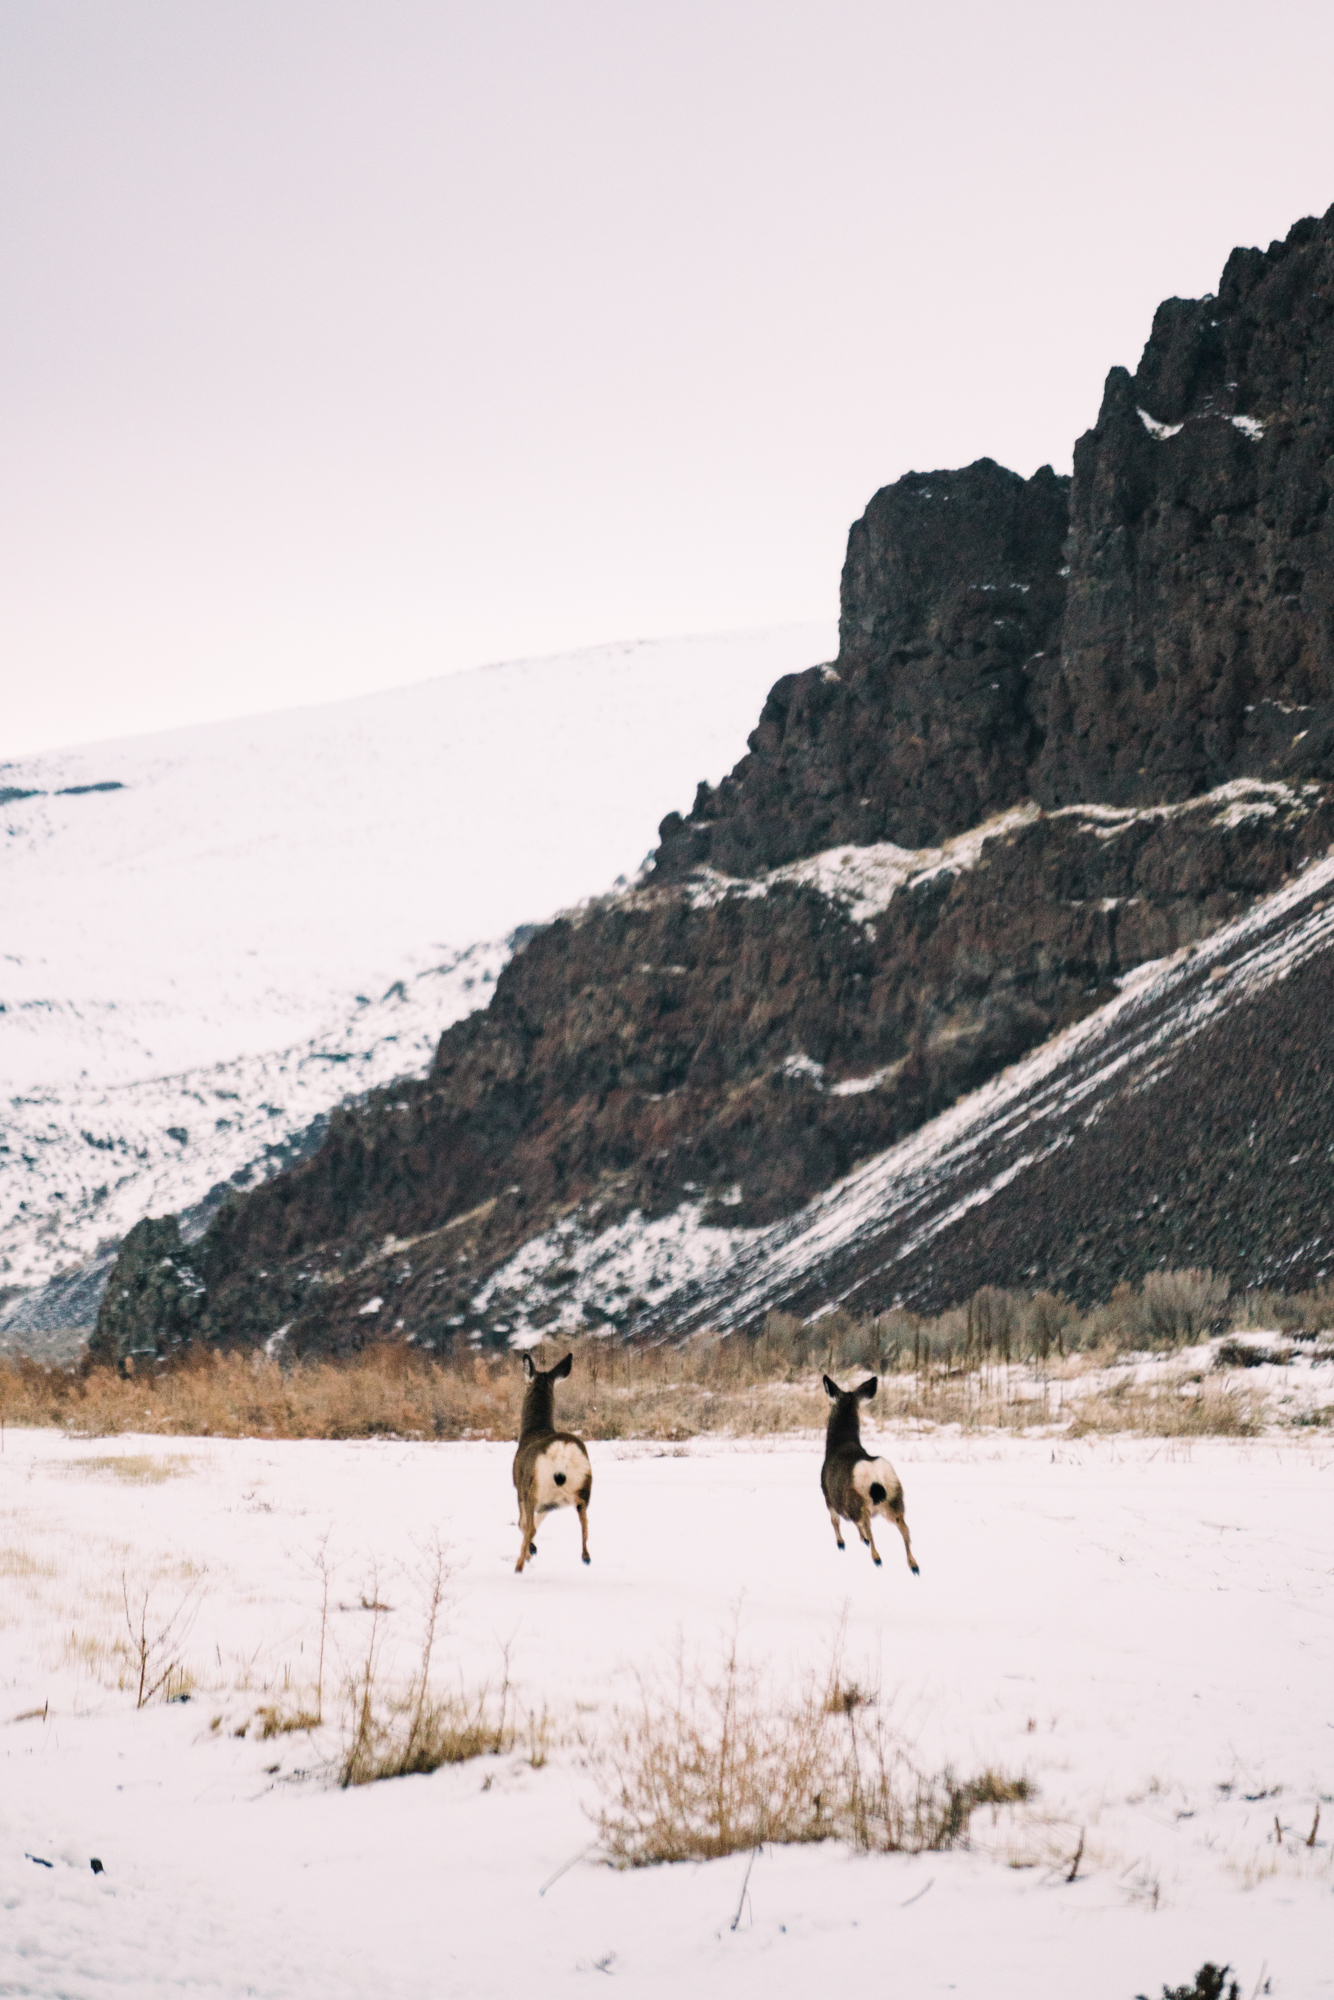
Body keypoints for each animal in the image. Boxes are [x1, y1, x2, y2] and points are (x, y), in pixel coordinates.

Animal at [516, 1352, 592, 1568]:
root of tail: (563, 1450)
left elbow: (523, 1525)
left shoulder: (521, 1491)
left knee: (528, 1527)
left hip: (533, 1488)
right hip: (583, 1491)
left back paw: (520, 1564)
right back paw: (585, 1557)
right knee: (585, 1527)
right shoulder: (549, 1504)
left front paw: (530, 1552)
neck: (534, 1430)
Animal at [824, 1376, 920, 1576]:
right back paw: (914, 1565)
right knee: (905, 1528)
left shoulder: (828, 1496)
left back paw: (877, 1557)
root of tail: (876, 1476)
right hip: (895, 1497)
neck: (837, 1446)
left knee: (867, 1525)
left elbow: (835, 1521)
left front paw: (841, 1543)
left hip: (857, 1500)